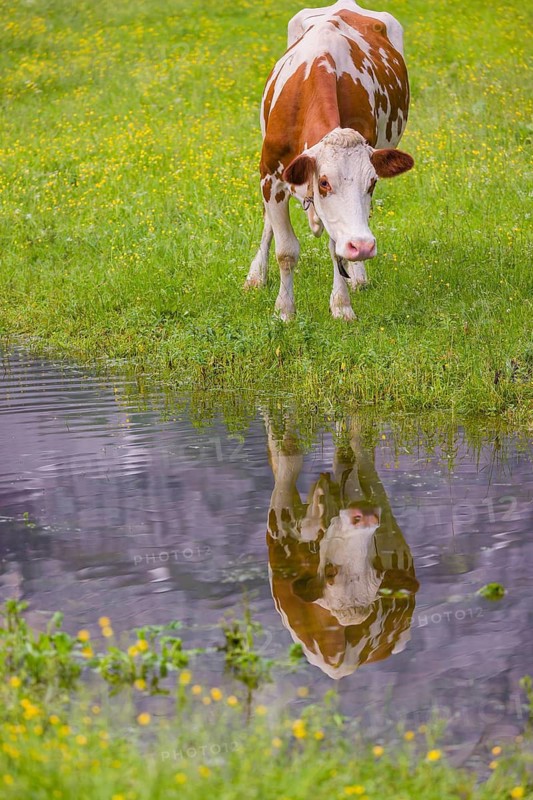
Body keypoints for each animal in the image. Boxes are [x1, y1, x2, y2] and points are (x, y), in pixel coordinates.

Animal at [245, 1, 414, 321]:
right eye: (323, 182)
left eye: (372, 182)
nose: (363, 247)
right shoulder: (270, 177)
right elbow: (286, 250)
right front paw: (285, 310)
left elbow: (337, 249)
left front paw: (342, 305)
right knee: (268, 224)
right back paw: (256, 275)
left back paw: (358, 275)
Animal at [265, 414, 419, 679]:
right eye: (330, 573)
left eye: (378, 571)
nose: (365, 517)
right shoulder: (279, 520)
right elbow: (289, 456)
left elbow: (356, 449)